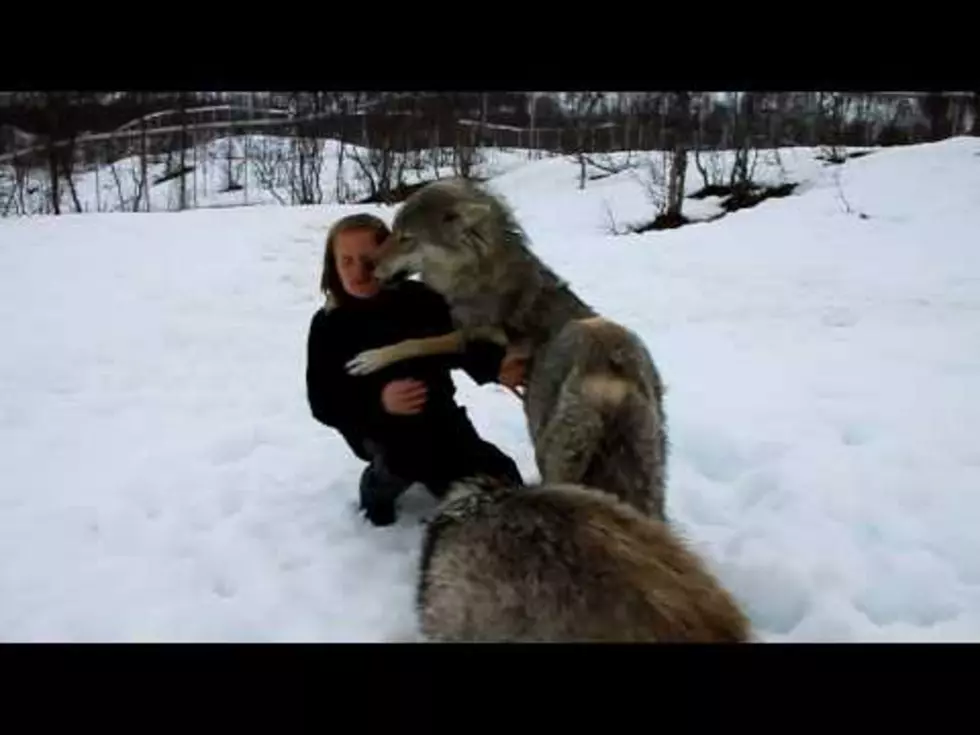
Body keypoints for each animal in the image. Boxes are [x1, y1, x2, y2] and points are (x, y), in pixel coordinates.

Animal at [340, 179, 668, 520]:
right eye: (392, 233)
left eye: (407, 238)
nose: (368, 264)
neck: (478, 271)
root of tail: (612, 379)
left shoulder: (470, 335)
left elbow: (416, 343)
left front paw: (369, 359)